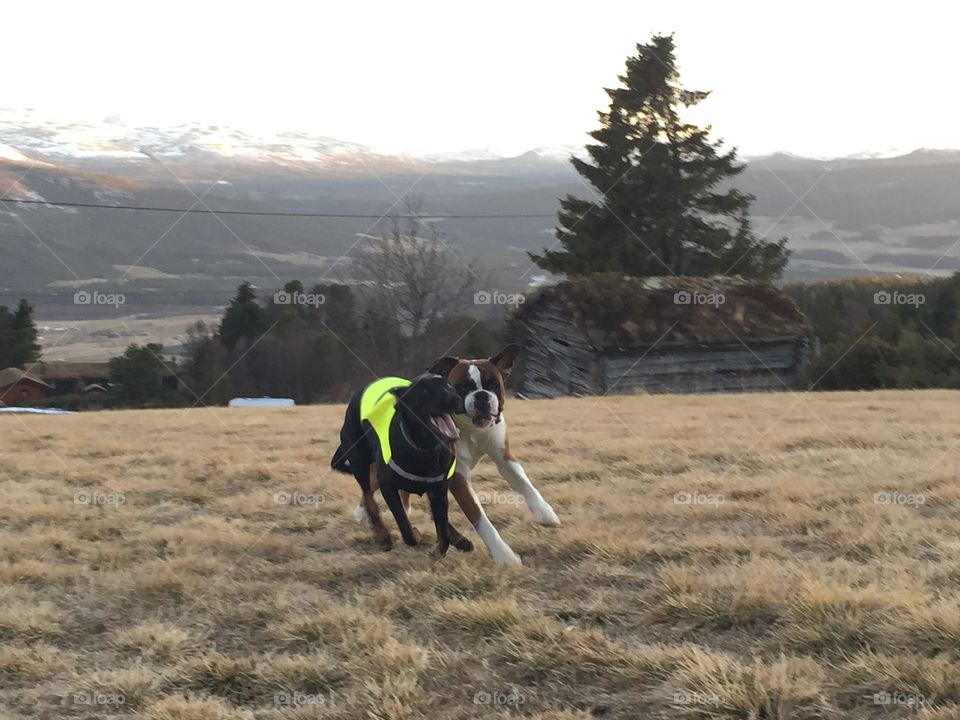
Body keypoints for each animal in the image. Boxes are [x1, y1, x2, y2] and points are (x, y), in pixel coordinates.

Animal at [330, 374, 464, 560]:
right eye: (424, 390)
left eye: (449, 387)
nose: (455, 399)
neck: (424, 447)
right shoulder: (387, 485)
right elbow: (404, 524)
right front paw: (416, 535)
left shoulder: (439, 489)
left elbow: (442, 528)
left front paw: (439, 551)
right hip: (360, 464)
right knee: (369, 499)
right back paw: (383, 536)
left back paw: (461, 540)